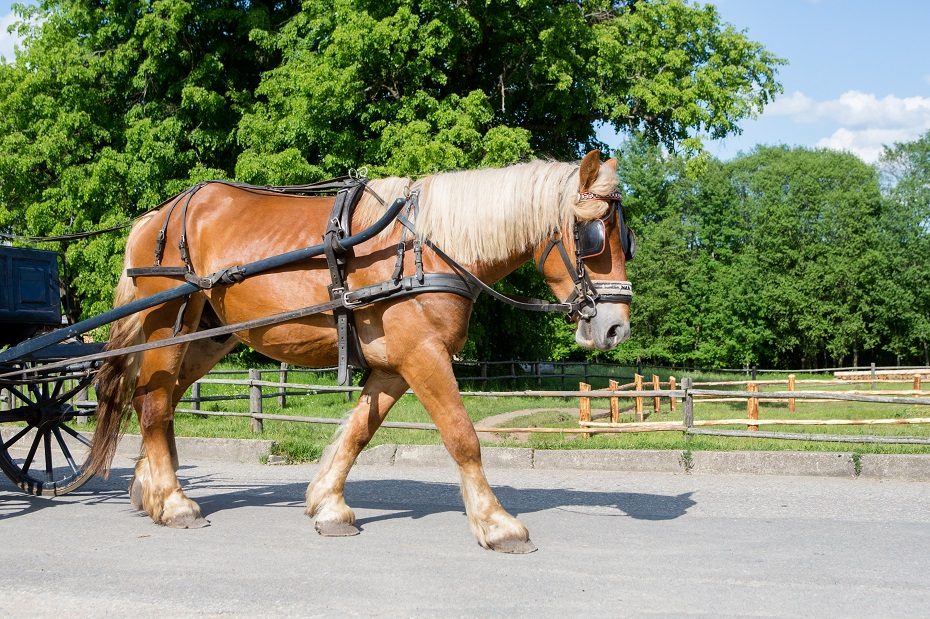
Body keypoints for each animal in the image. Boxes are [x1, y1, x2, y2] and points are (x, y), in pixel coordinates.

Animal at [87, 149, 632, 552]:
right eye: (592, 235)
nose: (615, 328)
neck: (424, 248)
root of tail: (155, 216)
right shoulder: (422, 354)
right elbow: (462, 436)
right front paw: (498, 523)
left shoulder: (395, 364)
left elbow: (356, 433)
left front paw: (328, 505)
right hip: (168, 325)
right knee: (155, 405)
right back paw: (174, 501)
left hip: (206, 335)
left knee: (156, 398)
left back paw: (148, 490)